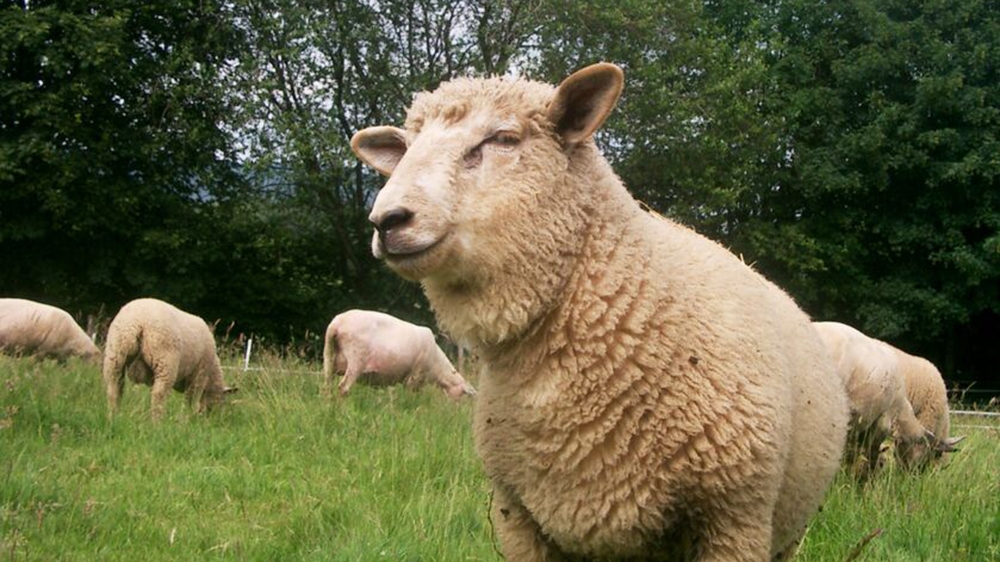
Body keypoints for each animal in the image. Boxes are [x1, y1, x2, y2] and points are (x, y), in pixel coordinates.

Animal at [102, 298, 236, 421]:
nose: (215, 418)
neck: (212, 373)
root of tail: (137, 322)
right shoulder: (199, 375)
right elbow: (190, 399)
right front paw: (187, 418)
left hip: (115, 356)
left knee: (113, 390)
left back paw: (113, 417)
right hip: (165, 360)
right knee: (159, 394)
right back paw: (157, 422)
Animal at [322, 309, 476, 399]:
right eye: (465, 395)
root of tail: (336, 324)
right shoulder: (415, 376)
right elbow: (411, 396)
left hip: (329, 355)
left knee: (327, 384)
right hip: (356, 359)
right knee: (343, 387)